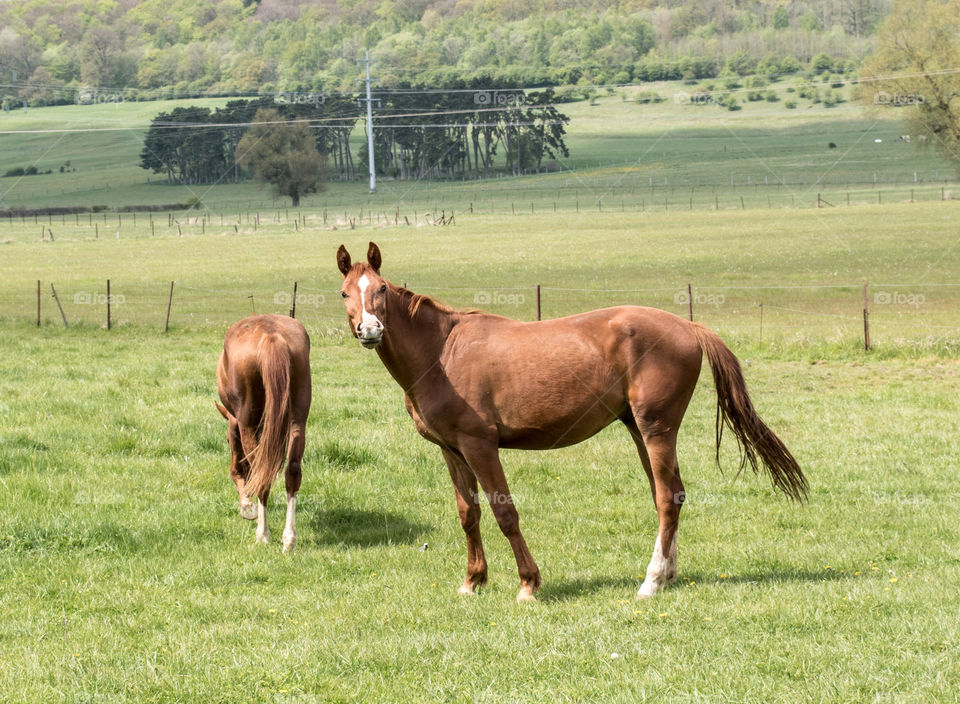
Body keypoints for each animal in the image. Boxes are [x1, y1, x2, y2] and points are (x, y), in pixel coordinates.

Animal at [215, 314, 312, 552]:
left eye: (227, 440)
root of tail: (271, 335)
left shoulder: (239, 425)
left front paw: (246, 506)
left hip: (248, 423)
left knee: (262, 473)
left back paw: (263, 534)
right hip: (298, 419)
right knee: (292, 471)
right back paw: (289, 538)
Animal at [336, 242, 804, 600]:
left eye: (381, 288)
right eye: (344, 293)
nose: (371, 329)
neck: (442, 353)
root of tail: (687, 326)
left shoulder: (480, 445)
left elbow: (504, 512)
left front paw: (528, 584)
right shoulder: (452, 450)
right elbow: (469, 514)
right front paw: (472, 581)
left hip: (656, 430)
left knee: (667, 499)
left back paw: (651, 582)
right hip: (640, 431)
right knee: (673, 495)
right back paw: (667, 574)